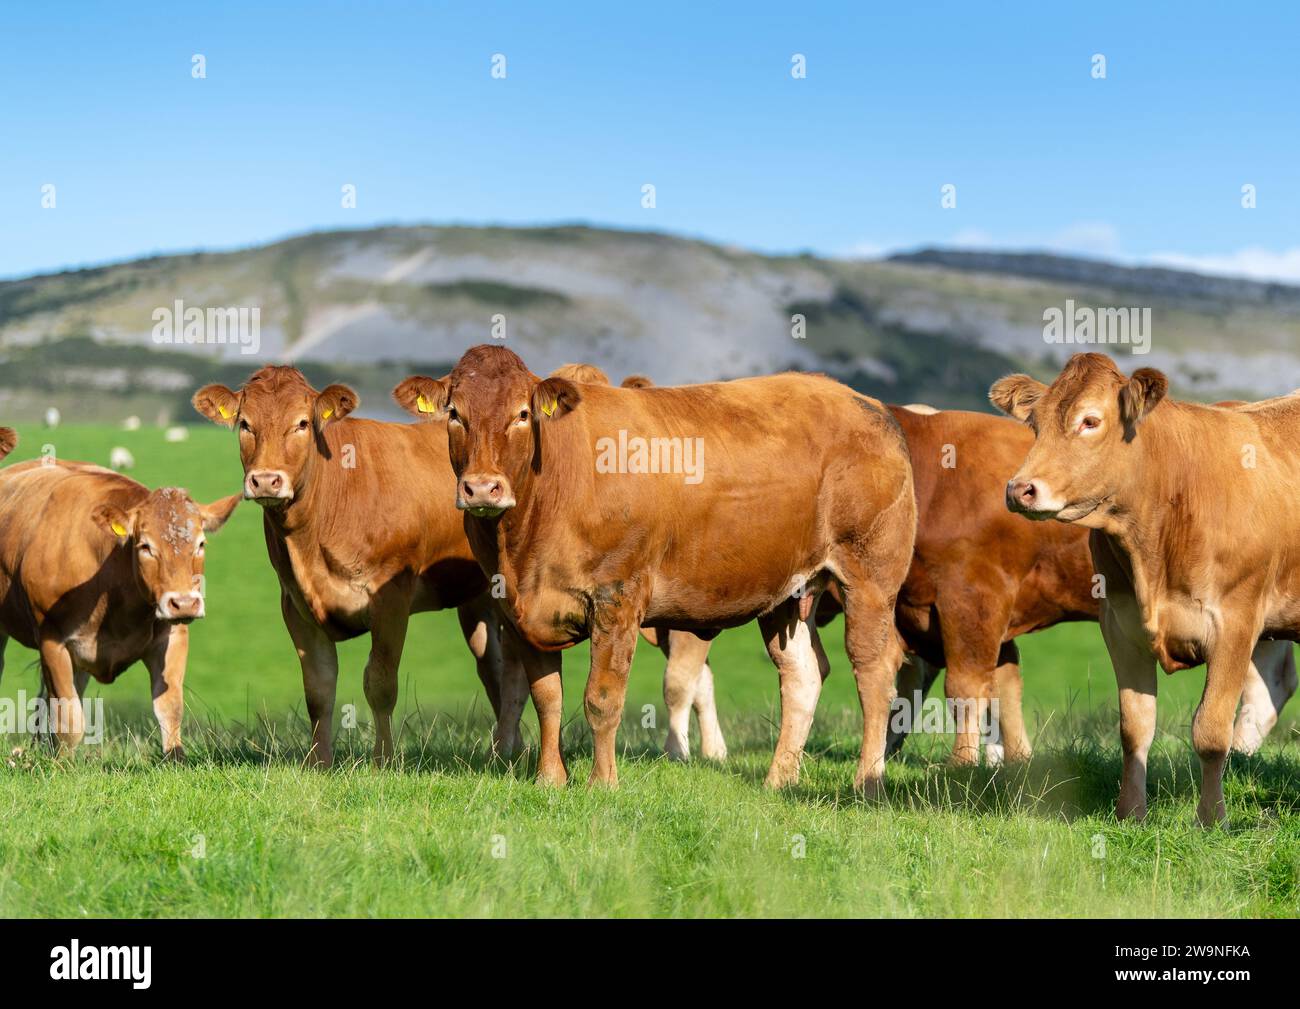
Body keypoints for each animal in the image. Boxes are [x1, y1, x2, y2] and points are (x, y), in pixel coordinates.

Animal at [0, 460, 239, 755]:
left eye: (201, 544)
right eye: (145, 546)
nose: (183, 603)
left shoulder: (172, 635)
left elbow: (170, 708)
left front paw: (176, 758)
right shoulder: (52, 639)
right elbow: (69, 720)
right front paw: (62, 763)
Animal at [192, 366, 527, 769]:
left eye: (302, 423)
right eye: (245, 424)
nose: (266, 480)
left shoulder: (391, 597)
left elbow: (380, 682)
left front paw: (383, 761)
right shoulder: (295, 603)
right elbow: (318, 688)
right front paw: (319, 763)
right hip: (477, 598)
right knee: (493, 667)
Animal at [394, 344, 917, 792]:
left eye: (522, 414)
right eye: (455, 414)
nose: (482, 488)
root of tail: (868, 405)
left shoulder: (617, 595)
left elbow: (602, 698)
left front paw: (602, 783)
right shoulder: (521, 609)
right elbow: (547, 696)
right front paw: (550, 780)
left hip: (869, 577)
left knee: (873, 669)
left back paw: (867, 781)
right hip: (789, 592)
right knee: (803, 673)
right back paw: (779, 780)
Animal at [992, 351, 1300, 824]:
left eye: (1090, 421)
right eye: (1036, 424)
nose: (1019, 489)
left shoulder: (1236, 620)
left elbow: (1210, 729)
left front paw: (1211, 819)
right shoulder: (1121, 626)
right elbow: (1135, 726)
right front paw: (1130, 812)